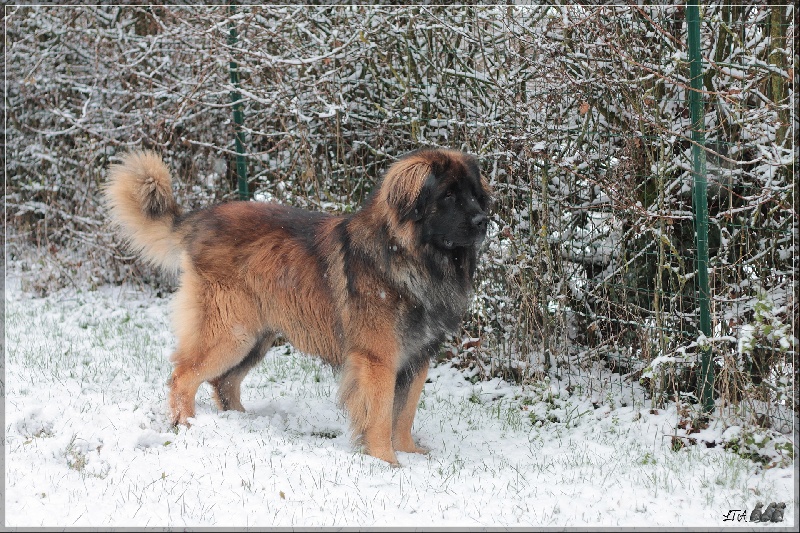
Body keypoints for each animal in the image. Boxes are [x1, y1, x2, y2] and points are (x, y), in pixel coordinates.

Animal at [104, 148, 494, 464]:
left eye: (474, 196)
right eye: (448, 195)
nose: (484, 221)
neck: (410, 257)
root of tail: (199, 218)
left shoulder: (417, 357)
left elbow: (405, 412)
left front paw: (410, 453)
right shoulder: (378, 359)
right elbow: (381, 414)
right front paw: (386, 461)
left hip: (256, 337)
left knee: (223, 382)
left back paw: (242, 423)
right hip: (231, 331)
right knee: (183, 376)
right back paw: (187, 424)